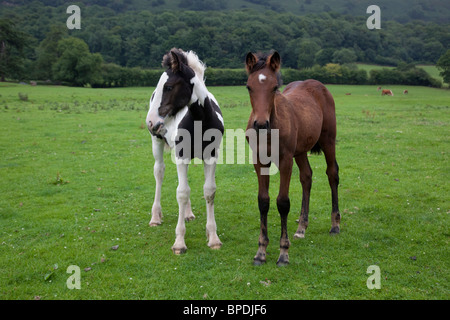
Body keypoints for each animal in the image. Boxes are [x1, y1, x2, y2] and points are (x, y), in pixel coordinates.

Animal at [246, 51, 342, 266]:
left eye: (275, 87)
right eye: (248, 86)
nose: (260, 124)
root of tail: (318, 84)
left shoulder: (285, 160)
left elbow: (282, 202)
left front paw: (283, 253)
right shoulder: (259, 161)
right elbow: (263, 201)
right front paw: (261, 251)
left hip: (328, 141)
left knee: (332, 174)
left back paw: (335, 225)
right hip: (301, 151)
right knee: (306, 176)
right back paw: (301, 228)